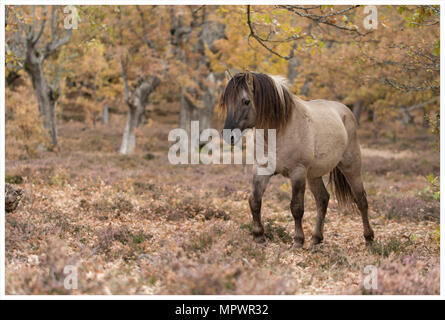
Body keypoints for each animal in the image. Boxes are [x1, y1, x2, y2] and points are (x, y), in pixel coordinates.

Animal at [220, 72, 372, 248]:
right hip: (314, 174)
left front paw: (298, 240)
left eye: (246, 101)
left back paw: (369, 238)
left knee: (361, 200)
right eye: (226, 102)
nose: (228, 136)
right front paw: (259, 237)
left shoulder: (297, 173)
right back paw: (316, 238)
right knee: (323, 200)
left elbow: (296, 207)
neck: (279, 130)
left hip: (351, 167)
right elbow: (255, 201)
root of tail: (346, 111)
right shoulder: (261, 170)